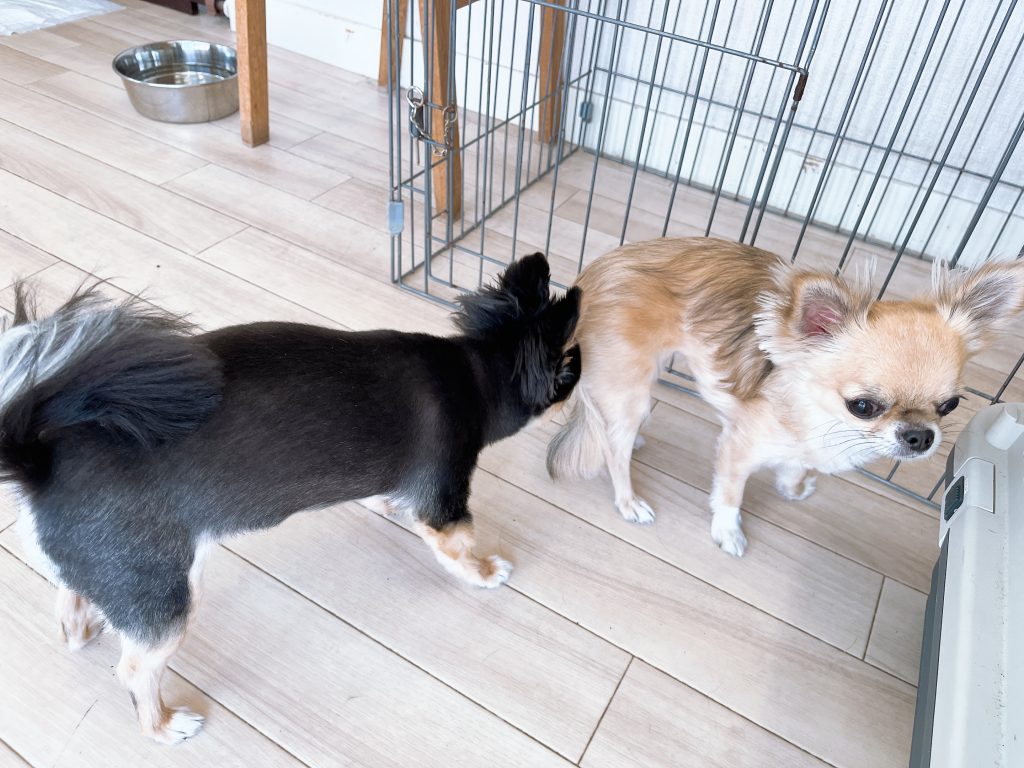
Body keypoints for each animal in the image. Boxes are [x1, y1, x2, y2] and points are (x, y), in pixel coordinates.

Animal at [0, 253, 580, 744]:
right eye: (573, 368)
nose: (576, 389)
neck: (476, 371)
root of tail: (38, 466)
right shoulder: (445, 502)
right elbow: (460, 545)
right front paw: (486, 572)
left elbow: (387, 498)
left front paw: (389, 508)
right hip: (163, 592)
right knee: (136, 670)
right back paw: (164, 725)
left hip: (114, 571)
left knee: (71, 603)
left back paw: (88, 624)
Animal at [547, 237, 1024, 557]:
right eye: (863, 407)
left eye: (951, 405)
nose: (920, 436)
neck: (822, 417)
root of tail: (590, 277)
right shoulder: (737, 449)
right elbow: (729, 497)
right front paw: (729, 533)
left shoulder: (805, 446)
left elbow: (797, 465)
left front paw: (793, 487)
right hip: (631, 387)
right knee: (614, 448)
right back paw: (629, 501)